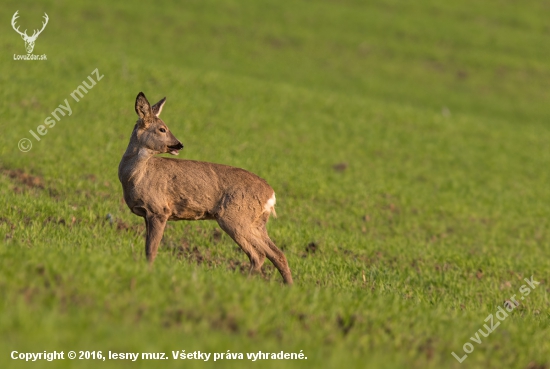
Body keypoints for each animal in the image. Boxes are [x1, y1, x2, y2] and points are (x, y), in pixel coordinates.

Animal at [119, 92, 296, 284]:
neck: (136, 177)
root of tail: (271, 195)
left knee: (258, 255)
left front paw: (148, 273)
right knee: (277, 254)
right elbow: (147, 249)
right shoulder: (148, 214)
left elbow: (151, 251)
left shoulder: (159, 210)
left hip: (235, 218)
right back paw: (288, 287)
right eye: (162, 129)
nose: (179, 144)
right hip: (256, 222)